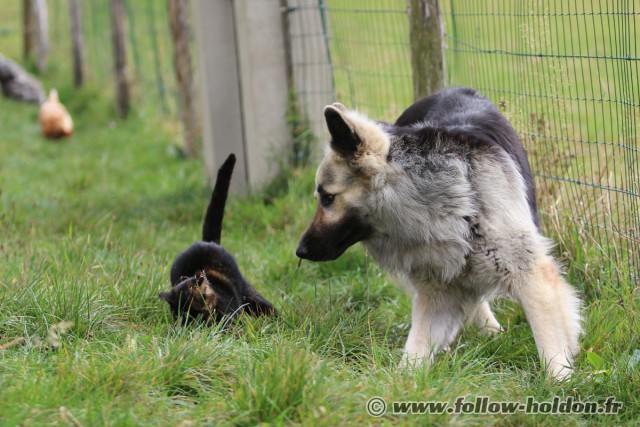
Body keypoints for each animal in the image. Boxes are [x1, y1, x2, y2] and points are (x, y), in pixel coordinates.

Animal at [159, 155, 276, 326]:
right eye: (182, 315)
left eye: (196, 311)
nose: (196, 324)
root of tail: (207, 242)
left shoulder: (232, 317)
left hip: (249, 293)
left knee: (266, 307)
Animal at [298, 88, 584, 382]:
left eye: (328, 197)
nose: (300, 251)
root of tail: (453, 89)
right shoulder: (438, 291)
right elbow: (417, 346)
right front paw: (401, 382)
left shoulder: (532, 278)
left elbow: (549, 343)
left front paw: (559, 383)